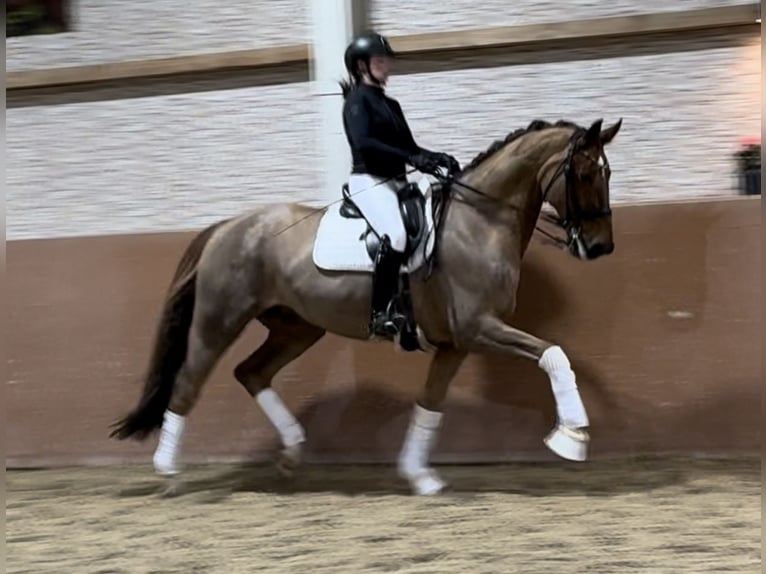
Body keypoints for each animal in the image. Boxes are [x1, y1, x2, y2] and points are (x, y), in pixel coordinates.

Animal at [109, 116, 624, 496]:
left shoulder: (456, 342)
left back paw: (292, 453)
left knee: (251, 372)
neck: (480, 220)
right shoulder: (479, 327)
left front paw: (421, 477)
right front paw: (571, 438)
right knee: (187, 384)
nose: (600, 247)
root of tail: (228, 226)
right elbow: (554, 353)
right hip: (220, 320)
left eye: (608, 172)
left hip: (297, 327)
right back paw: (169, 473)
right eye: (583, 173)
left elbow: (430, 403)